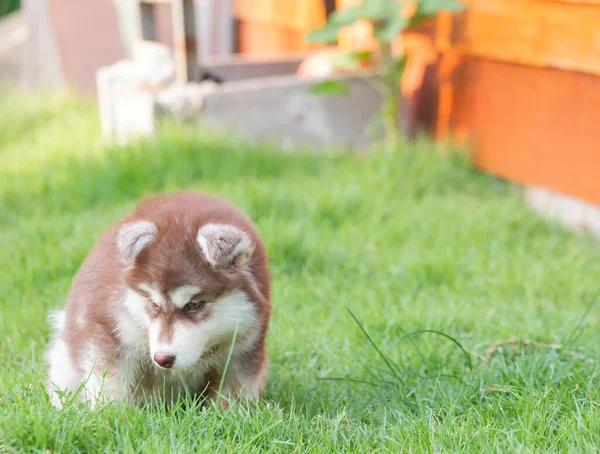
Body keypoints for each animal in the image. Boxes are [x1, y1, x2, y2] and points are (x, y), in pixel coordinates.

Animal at [45, 191, 270, 408]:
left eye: (194, 305)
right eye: (153, 304)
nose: (163, 359)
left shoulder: (244, 347)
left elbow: (233, 393)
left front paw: (228, 414)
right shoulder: (108, 331)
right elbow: (110, 385)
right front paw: (111, 415)